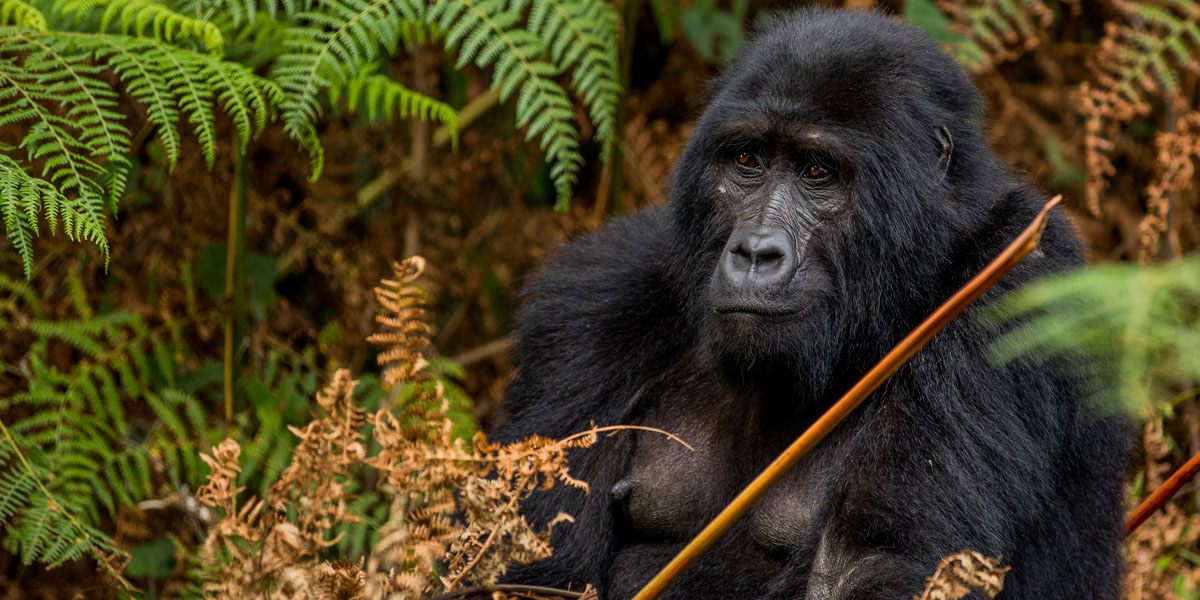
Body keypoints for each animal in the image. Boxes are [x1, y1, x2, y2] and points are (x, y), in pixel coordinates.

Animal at [487, 9, 1123, 600]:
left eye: (817, 171)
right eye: (747, 161)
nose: (754, 253)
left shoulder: (1014, 280)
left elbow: (871, 567)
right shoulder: (595, 303)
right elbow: (537, 569)